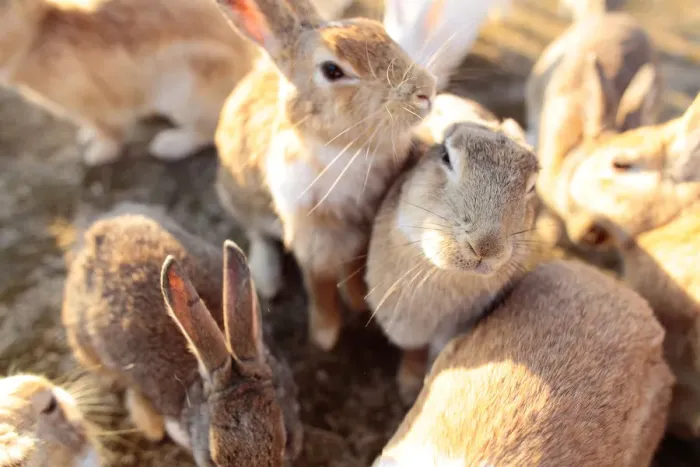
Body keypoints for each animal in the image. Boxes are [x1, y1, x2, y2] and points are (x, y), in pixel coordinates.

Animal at [0, 0, 256, 166]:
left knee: (209, 131)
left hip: (186, 92)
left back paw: (169, 145)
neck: (35, 33)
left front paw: (98, 155)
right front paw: (87, 136)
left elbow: (109, 130)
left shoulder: (93, 102)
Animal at [214, 0, 437, 351]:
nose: (426, 92)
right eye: (333, 70)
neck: (347, 150)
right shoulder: (312, 238)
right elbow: (320, 285)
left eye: (379, 31)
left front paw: (360, 304)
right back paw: (266, 279)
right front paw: (325, 337)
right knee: (257, 233)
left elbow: (355, 269)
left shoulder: (362, 230)